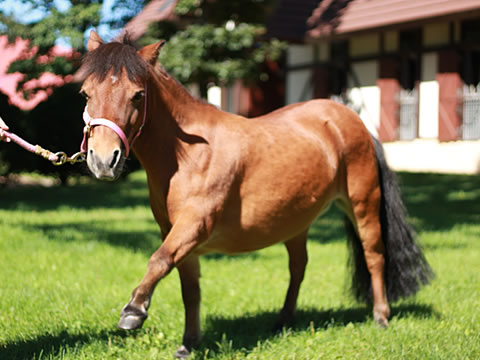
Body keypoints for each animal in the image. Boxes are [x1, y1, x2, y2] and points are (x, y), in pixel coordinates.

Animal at [79, 32, 436, 358]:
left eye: (138, 95)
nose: (103, 159)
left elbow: (158, 261)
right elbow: (188, 289)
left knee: (374, 255)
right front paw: (188, 343)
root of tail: (353, 121)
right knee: (298, 266)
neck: (188, 155)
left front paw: (134, 311)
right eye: (85, 93)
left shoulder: (193, 227)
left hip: (363, 205)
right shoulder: (177, 236)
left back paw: (381, 316)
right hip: (296, 223)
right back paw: (284, 319)